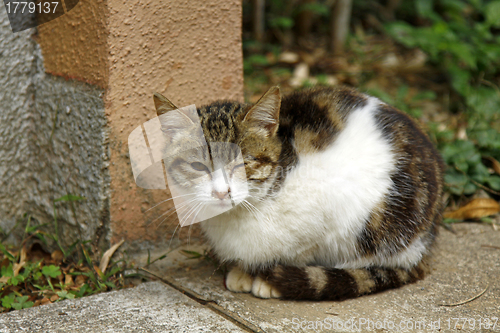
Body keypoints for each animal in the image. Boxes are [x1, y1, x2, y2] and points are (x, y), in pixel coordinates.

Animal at [154, 85, 444, 298]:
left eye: (243, 163)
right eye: (198, 166)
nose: (221, 193)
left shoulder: (333, 206)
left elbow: (302, 251)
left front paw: (267, 277)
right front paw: (244, 270)